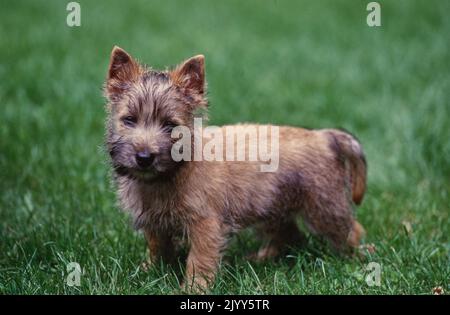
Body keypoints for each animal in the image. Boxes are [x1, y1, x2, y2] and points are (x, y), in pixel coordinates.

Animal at [103, 45, 368, 292]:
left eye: (170, 125)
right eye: (129, 120)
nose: (144, 157)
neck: (168, 175)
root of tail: (324, 137)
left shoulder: (205, 224)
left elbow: (199, 259)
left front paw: (194, 287)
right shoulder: (154, 222)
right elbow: (157, 246)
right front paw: (150, 270)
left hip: (325, 208)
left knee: (351, 230)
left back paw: (357, 257)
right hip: (273, 206)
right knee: (289, 234)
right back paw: (263, 258)